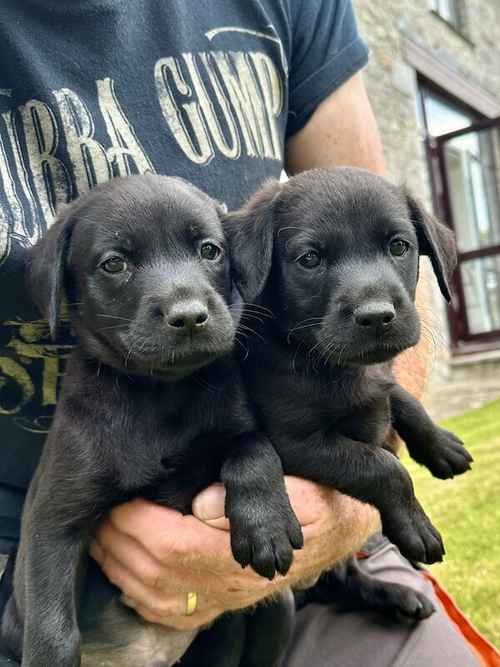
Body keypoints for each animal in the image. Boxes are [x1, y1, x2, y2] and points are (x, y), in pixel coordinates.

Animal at [1, 176, 302, 667]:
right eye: (115, 263)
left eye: (210, 250)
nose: (190, 317)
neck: (160, 396)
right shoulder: (53, 520)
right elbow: (52, 629)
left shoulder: (233, 428)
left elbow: (252, 446)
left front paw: (266, 525)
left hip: (277, 605)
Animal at [224, 167, 472, 620]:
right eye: (309, 259)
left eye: (398, 246)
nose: (377, 317)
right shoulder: (297, 443)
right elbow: (383, 467)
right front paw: (416, 527)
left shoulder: (379, 378)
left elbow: (400, 397)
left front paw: (441, 445)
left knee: (344, 580)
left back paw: (398, 596)